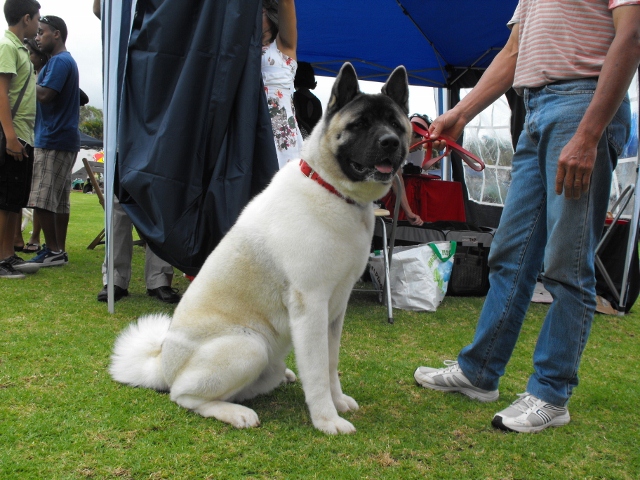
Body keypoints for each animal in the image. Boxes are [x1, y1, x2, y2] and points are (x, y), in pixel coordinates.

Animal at [110, 63, 410, 436]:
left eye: (396, 125)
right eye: (360, 124)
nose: (390, 142)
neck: (332, 190)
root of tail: (162, 365)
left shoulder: (335, 310)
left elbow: (330, 364)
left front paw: (338, 402)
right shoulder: (311, 306)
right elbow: (317, 372)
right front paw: (327, 419)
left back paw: (280, 379)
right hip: (250, 346)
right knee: (183, 395)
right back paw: (235, 413)